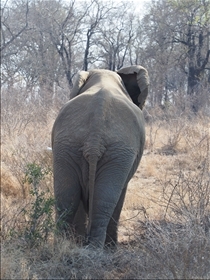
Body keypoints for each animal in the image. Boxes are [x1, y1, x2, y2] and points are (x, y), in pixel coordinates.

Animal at [52, 65, 150, 247]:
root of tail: (94, 137)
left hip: (68, 145)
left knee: (66, 196)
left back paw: (64, 246)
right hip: (118, 152)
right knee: (104, 200)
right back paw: (98, 249)